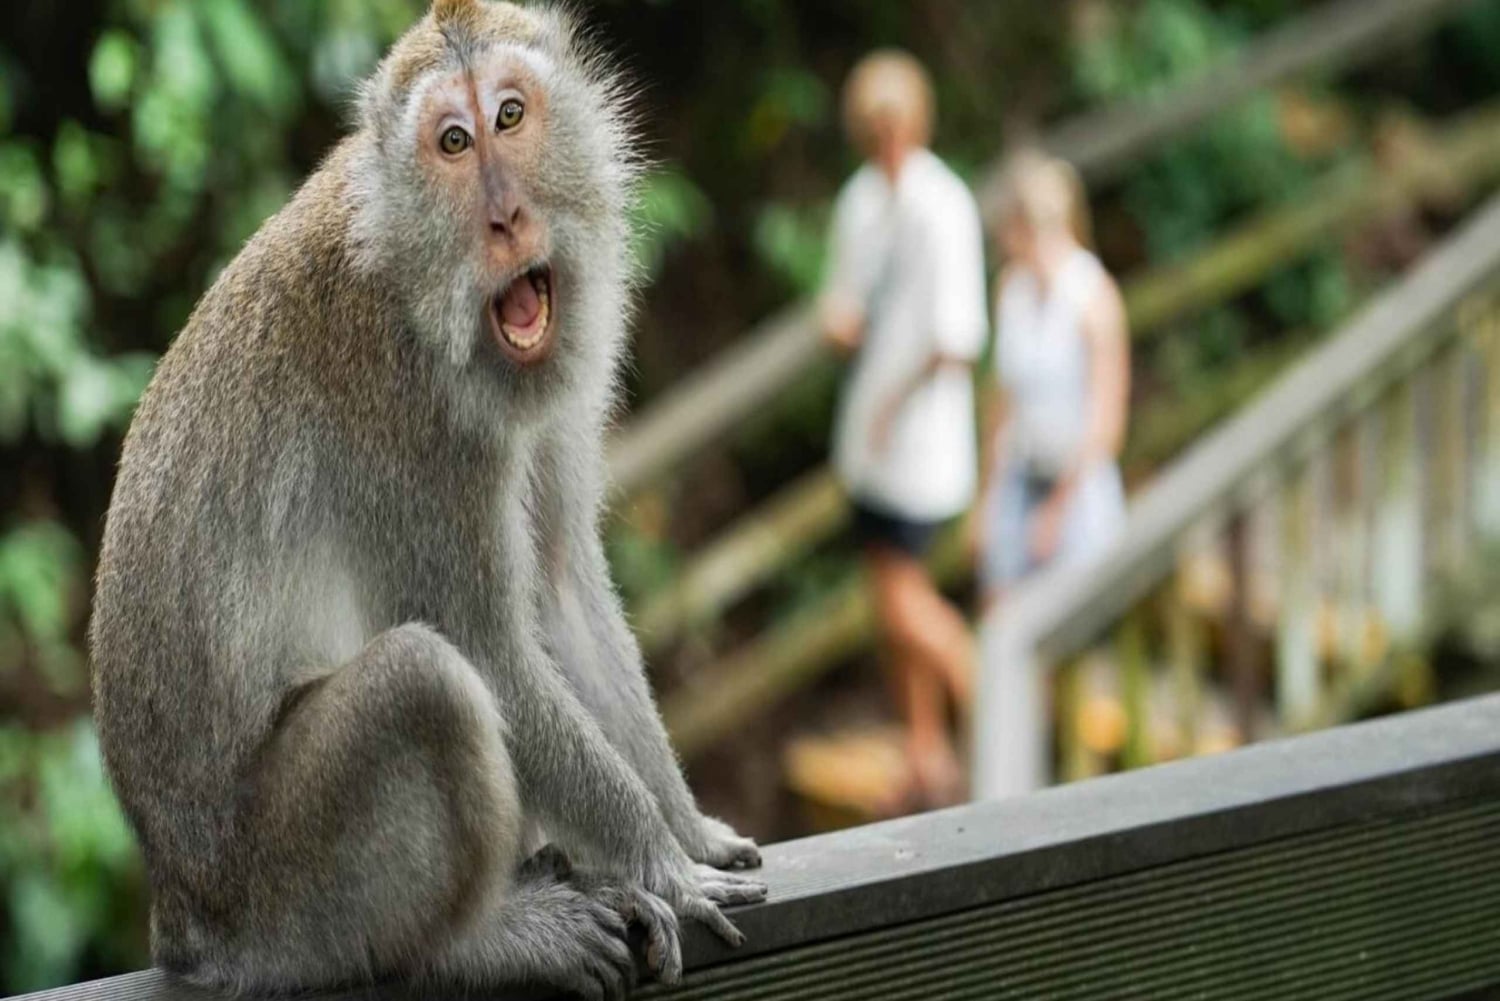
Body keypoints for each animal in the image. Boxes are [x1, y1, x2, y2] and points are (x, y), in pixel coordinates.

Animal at [87, 2, 766, 998]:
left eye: (511, 116)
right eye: (453, 141)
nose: (505, 217)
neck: (416, 277)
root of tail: (185, 920)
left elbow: (561, 588)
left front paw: (691, 830)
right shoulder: (411, 420)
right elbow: (487, 648)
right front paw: (660, 862)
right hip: (287, 891)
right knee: (426, 683)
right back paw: (479, 940)